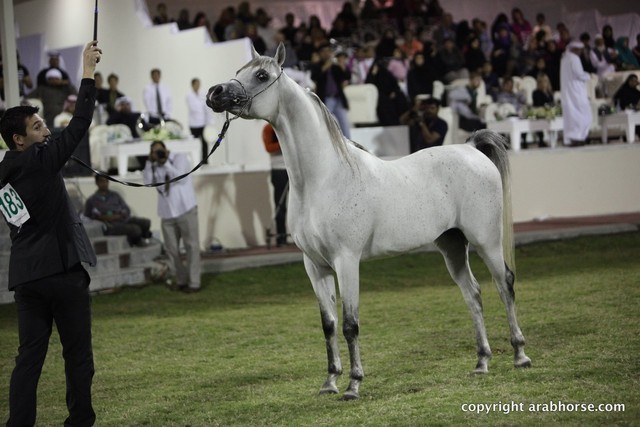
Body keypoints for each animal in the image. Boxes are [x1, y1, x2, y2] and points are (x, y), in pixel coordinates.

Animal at [206, 43, 531, 400]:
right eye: (238, 72)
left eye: (262, 75)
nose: (215, 92)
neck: (324, 178)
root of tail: (472, 149)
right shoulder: (314, 265)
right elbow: (329, 324)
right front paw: (330, 382)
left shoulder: (346, 260)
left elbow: (351, 324)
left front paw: (353, 385)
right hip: (452, 245)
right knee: (473, 293)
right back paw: (482, 362)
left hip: (485, 239)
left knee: (504, 284)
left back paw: (520, 355)